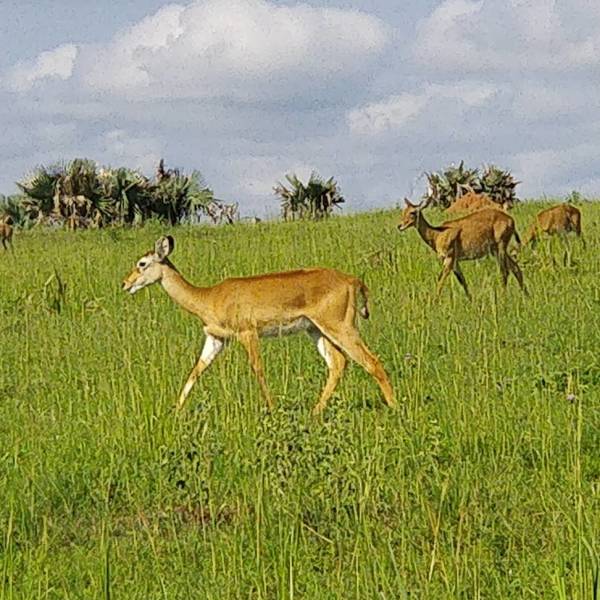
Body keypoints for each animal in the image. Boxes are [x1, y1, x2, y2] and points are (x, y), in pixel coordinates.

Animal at [122, 237, 396, 414]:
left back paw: (394, 406)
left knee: (372, 362)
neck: (208, 297)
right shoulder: (216, 339)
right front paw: (175, 411)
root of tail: (353, 280)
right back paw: (314, 412)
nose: (125, 284)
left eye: (142, 263)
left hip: (341, 328)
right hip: (317, 331)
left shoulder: (247, 333)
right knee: (338, 364)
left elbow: (257, 368)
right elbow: (196, 370)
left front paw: (272, 408)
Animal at [396, 198, 528, 298]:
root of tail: (511, 220)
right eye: (403, 211)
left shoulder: (449, 258)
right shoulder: (455, 262)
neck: (437, 234)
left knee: (505, 271)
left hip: (500, 248)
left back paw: (503, 298)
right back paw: (526, 296)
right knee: (515, 268)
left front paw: (434, 302)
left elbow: (441, 279)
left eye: (413, 212)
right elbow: (462, 280)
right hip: (496, 250)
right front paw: (471, 300)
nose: (400, 226)